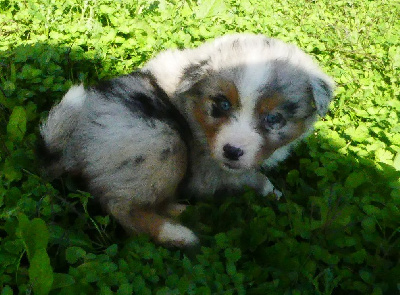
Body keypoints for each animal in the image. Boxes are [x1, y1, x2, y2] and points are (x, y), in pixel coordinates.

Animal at [40, 34, 334, 247]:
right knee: (121, 206)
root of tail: (74, 142)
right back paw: (178, 234)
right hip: (161, 144)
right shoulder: (211, 170)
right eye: (222, 104)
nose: (232, 151)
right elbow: (252, 178)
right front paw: (272, 191)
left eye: (273, 118)